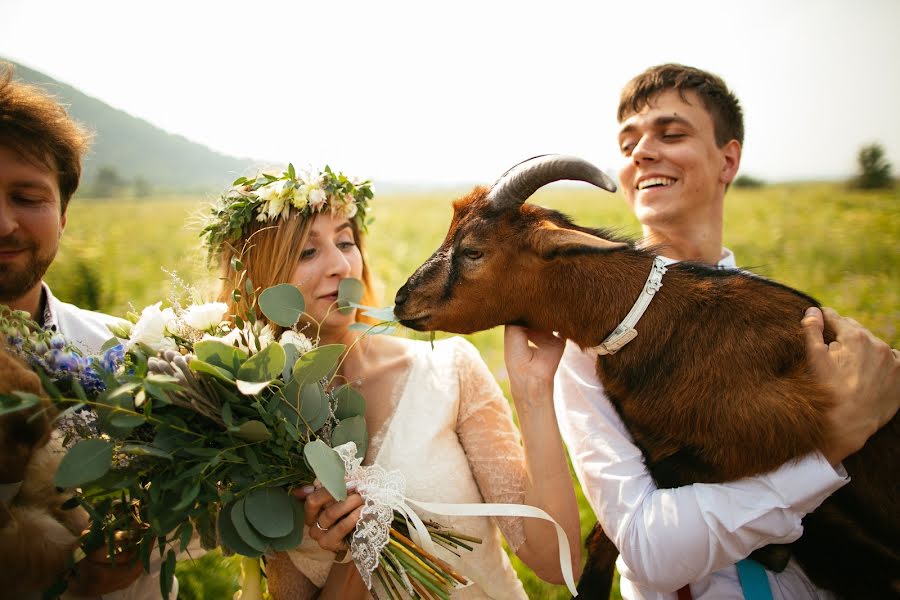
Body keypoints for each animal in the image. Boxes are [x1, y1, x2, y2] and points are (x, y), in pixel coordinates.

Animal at [394, 156, 900, 600]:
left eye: (473, 251)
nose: (402, 300)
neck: (657, 318)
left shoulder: (777, 427)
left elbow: (657, 481)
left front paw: (775, 550)